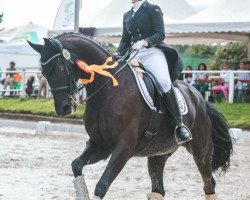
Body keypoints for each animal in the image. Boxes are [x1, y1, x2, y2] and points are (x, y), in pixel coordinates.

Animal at [28, 33, 233, 199]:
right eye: (43, 72)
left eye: (59, 68)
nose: (63, 108)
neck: (108, 90)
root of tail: (200, 98)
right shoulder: (100, 145)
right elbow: (76, 165)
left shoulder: (124, 148)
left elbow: (102, 185)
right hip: (159, 153)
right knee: (158, 190)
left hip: (200, 150)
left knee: (208, 183)